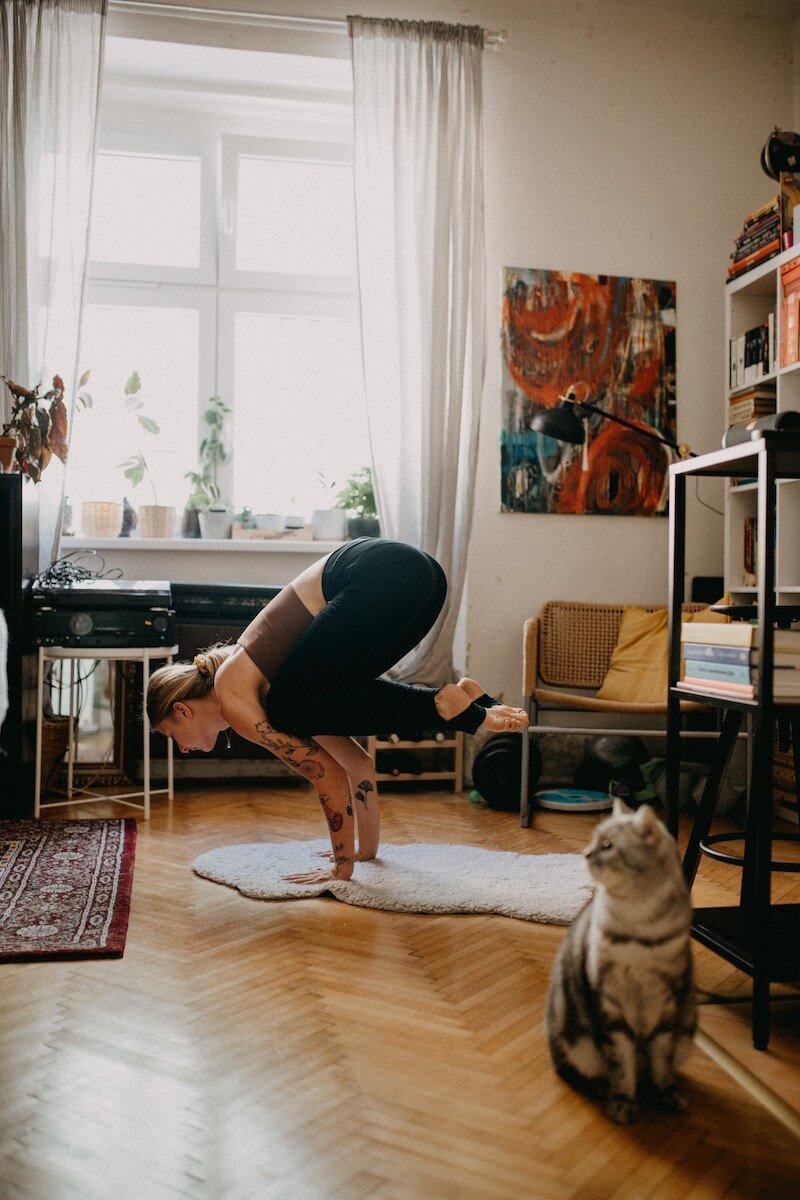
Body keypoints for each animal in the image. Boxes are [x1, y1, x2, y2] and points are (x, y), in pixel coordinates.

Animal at [546, 796, 695, 1123]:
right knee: (576, 1071)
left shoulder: (667, 1004)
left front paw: (667, 1095)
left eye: (608, 845)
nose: (585, 853)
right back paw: (602, 1088)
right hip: (572, 1039)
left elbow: (662, 1062)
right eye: (593, 840)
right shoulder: (609, 1003)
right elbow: (621, 1064)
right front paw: (623, 1103)